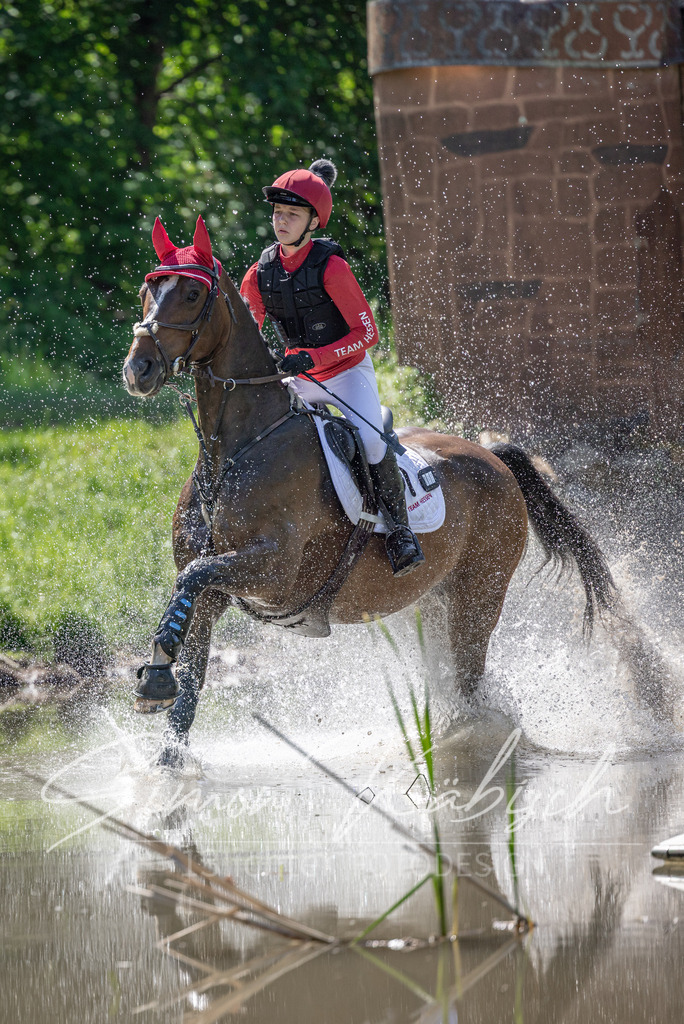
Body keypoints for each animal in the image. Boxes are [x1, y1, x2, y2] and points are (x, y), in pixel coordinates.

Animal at [123, 217, 615, 761]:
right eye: (148, 290)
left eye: (191, 293)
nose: (138, 369)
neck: (237, 449)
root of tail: (493, 457)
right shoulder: (214, 592)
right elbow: (189, 662)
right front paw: (162, 710)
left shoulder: (273, 571)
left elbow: (194, 577)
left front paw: (155, 678)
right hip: (433, 600)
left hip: (479, 596)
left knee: (471, 685)